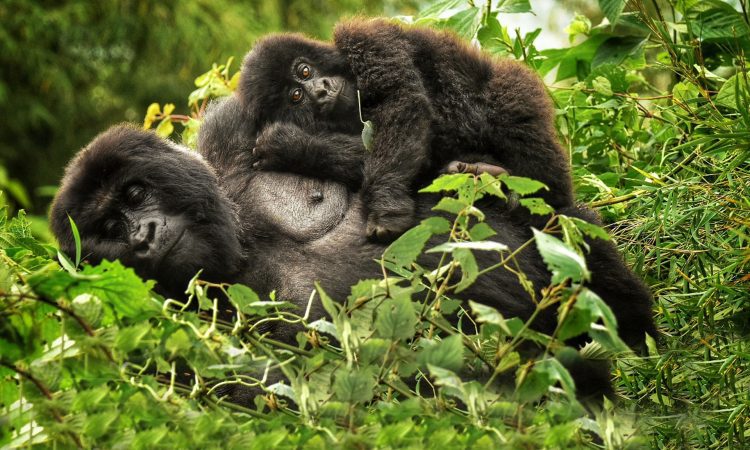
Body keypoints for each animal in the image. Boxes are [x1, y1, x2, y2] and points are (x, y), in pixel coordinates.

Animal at [239, 19, 574, 241]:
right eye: (296, 96)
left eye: (305, 70)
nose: (320, 91)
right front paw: (294, 148)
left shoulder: (365, 40)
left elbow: (402, 100)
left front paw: (386, 209)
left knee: (511, 104)